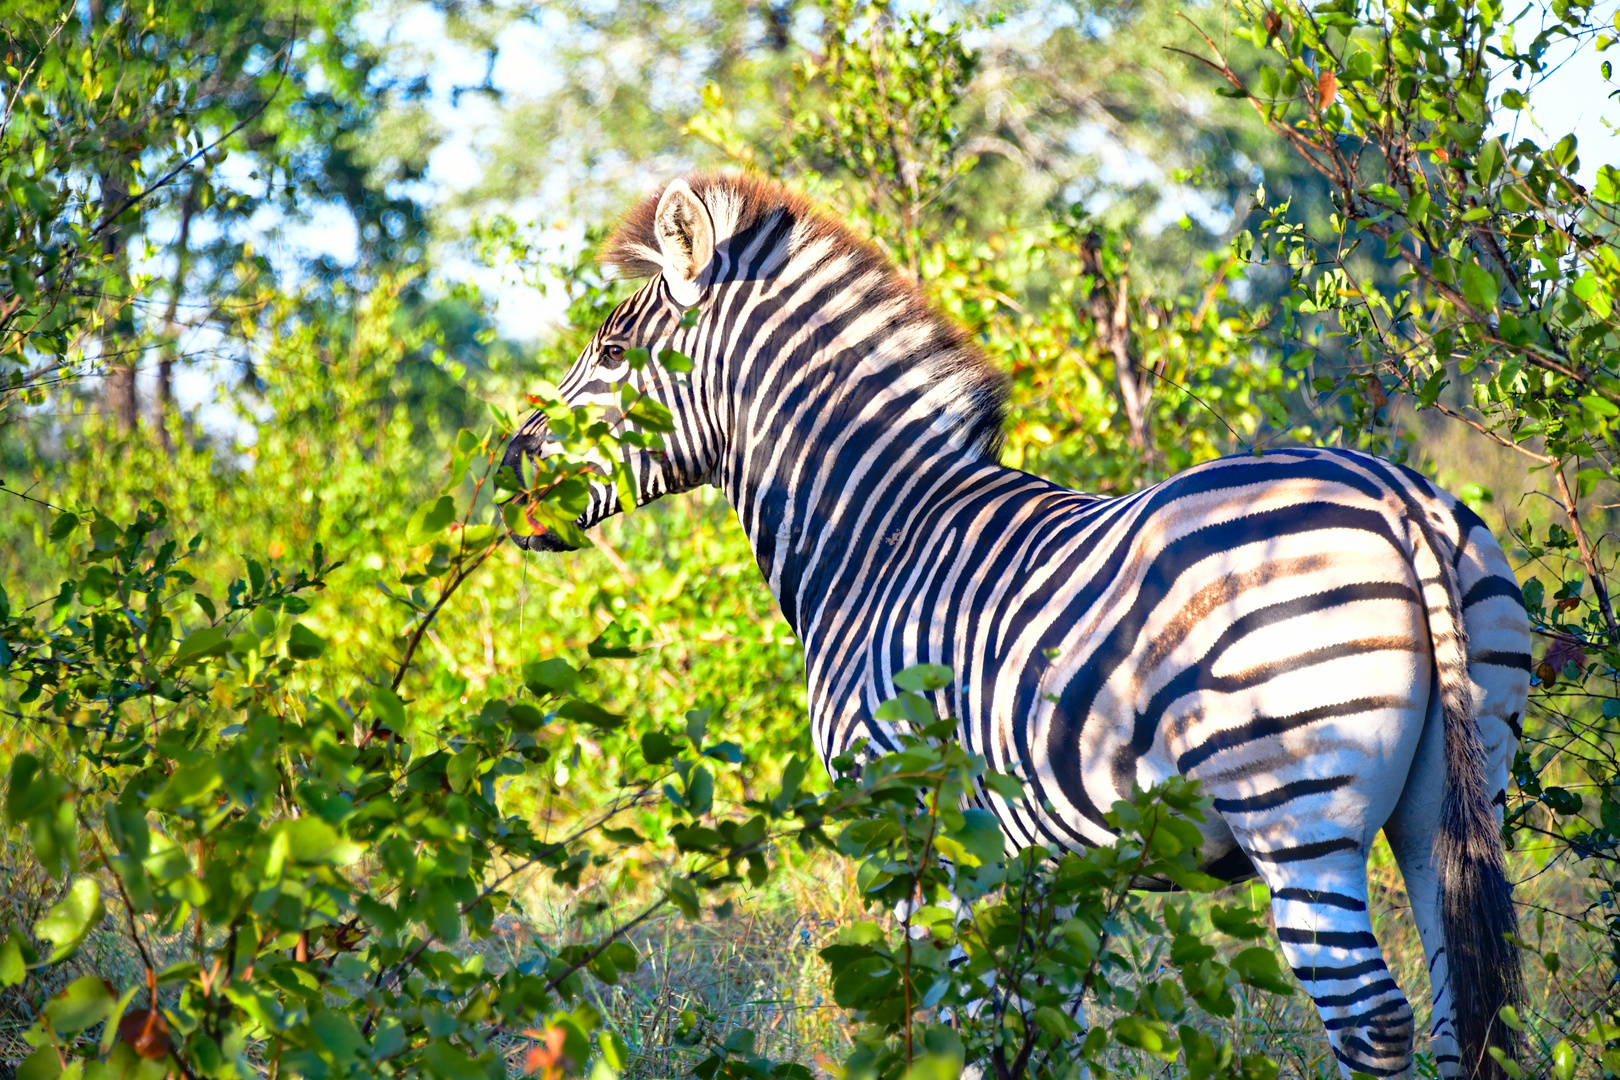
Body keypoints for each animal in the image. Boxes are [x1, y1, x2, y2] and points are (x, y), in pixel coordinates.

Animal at [502, 175, 1529, 1080]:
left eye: (611, 353)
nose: (506, 472)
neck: (875, 535)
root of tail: (1394, 497)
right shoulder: (1024, 859)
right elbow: (1016, 1025)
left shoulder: (911, 821)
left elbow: (938, 1023)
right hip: (1451, 795)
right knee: (1461, 1021)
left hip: (1293, 803)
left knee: (1373, 1021)